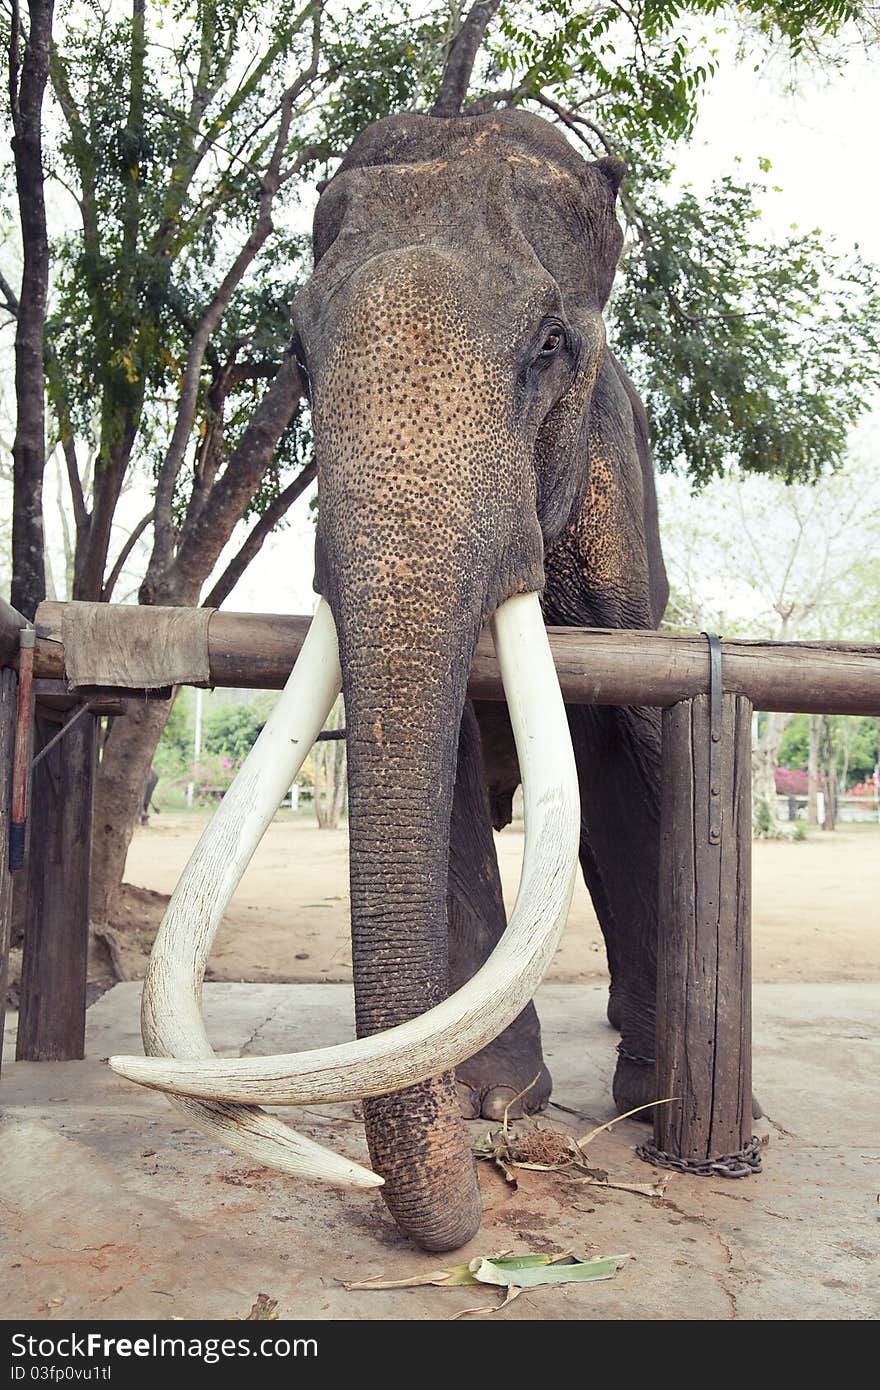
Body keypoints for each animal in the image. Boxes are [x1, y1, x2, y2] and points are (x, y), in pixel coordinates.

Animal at [113, 113, 670, 1256]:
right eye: (295, 353)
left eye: (550, 344)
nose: (472, 1201)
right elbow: (446, 766)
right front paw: (493, 1101)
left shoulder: (617, 502)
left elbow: (636, 751)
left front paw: (653, 1108)